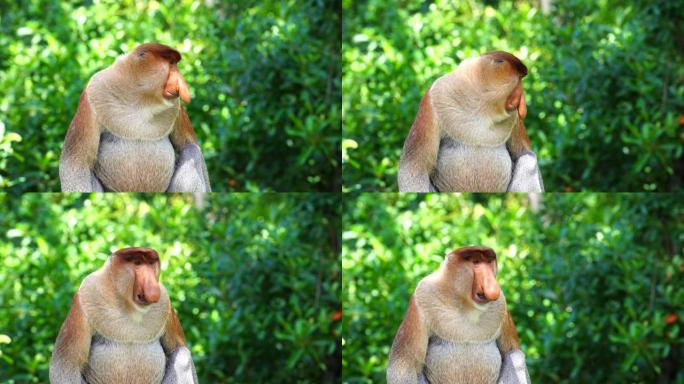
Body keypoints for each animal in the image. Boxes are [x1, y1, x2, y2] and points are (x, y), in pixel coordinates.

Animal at [49, 248, 199, 382]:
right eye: (137, 263)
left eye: (151, 264)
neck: (129, 308)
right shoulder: (85, 297)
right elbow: (66, 365)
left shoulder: (165, 304)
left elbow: (177, 348)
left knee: (182, 357)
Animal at [60, 42, 212, 192]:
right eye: (171, 64)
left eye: (175, 64)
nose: (181, 84)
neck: (139, 96)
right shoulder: (92, 94)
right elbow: (76, 163)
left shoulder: (176, 106)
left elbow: (189, 143)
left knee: (192, 149)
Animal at [390, 246, 528, 384]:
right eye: (476, 262)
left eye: (489, 262)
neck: (466, 306)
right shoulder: (422, 296)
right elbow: (404, 365)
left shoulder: (501, 305)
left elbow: (510, 350)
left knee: (515, 356)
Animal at [398, 51, 544, 192]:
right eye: (519, 80)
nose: (522, 103)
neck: (480, 102)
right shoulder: (432, 100)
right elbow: (414, 167)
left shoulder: (514, 117)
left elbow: (524, 153)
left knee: (527, 160)